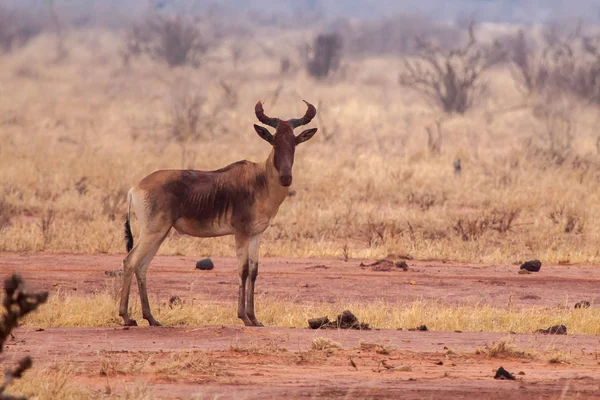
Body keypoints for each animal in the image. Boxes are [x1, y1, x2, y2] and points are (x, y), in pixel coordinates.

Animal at [118, 101, 318, 328]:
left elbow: (254, 271)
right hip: (153, 231)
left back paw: (151, 318)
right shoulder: (240, 233)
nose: (286, 178)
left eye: (294, 142)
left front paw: (255, 319)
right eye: (274, 141)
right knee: (130, 261)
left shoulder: (256, 234)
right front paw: (244, 317)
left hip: (160, 233)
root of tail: (135, 188)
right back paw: (126, 317)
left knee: (142, 266)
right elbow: (242, 270)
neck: (260, 179)